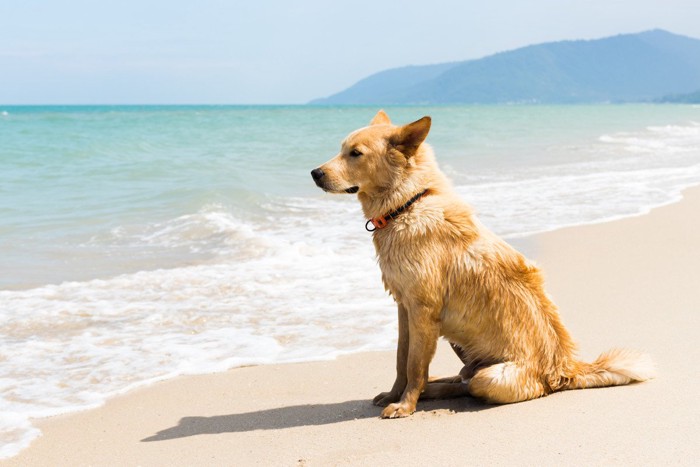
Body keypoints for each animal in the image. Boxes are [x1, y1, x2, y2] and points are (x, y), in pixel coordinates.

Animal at [308, 111, 652, 418]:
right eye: (342, 148)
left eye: (355, 154)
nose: (314, 173)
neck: (408, 204)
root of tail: (564, 370)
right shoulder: (404, 307)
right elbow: (400, 360)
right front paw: (396, 395)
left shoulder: (422, 310)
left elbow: (414, 366)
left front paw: (405, 406)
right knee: (462, 377)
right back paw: (435, 387)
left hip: (491, 375)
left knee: (471, 384)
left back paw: (432, 392)